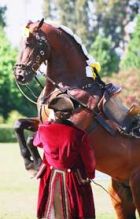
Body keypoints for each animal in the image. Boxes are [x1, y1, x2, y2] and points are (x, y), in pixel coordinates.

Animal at [13, 19, 140, 219]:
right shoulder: (43, 120)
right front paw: (30, 163)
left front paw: (37, 164)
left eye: (31, 43)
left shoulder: (72, 127)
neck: (70, 86)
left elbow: (34, 138)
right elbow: (19, 125)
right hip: (121, 195)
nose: (20, 75)